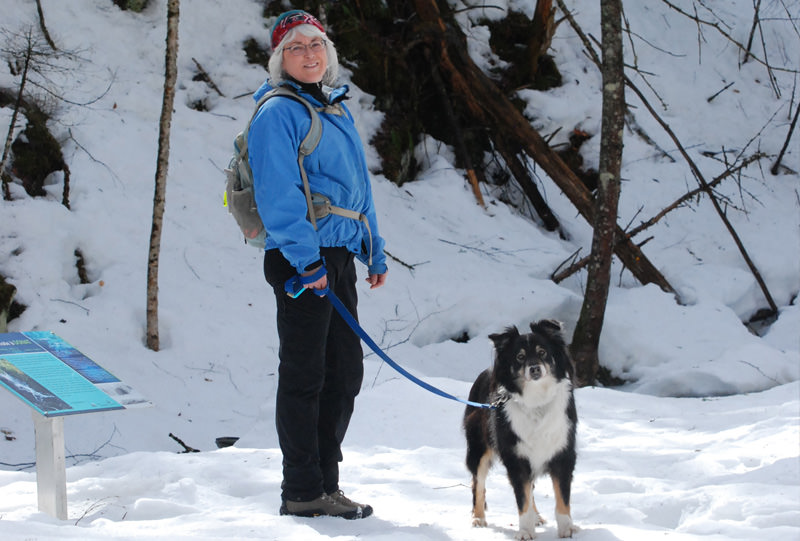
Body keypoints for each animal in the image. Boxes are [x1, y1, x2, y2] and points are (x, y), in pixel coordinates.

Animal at [462, 318, 580, 536]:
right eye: (520, 357)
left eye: (543, 352)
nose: (534, 369)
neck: (537, 400)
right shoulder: (516, 458)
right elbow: (522, 498)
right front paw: (525, 531)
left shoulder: (562, 453)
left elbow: (562, 497)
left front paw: (567, 528)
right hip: (478, 448)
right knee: (478, 482)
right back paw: (478, 517)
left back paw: (537, 517)